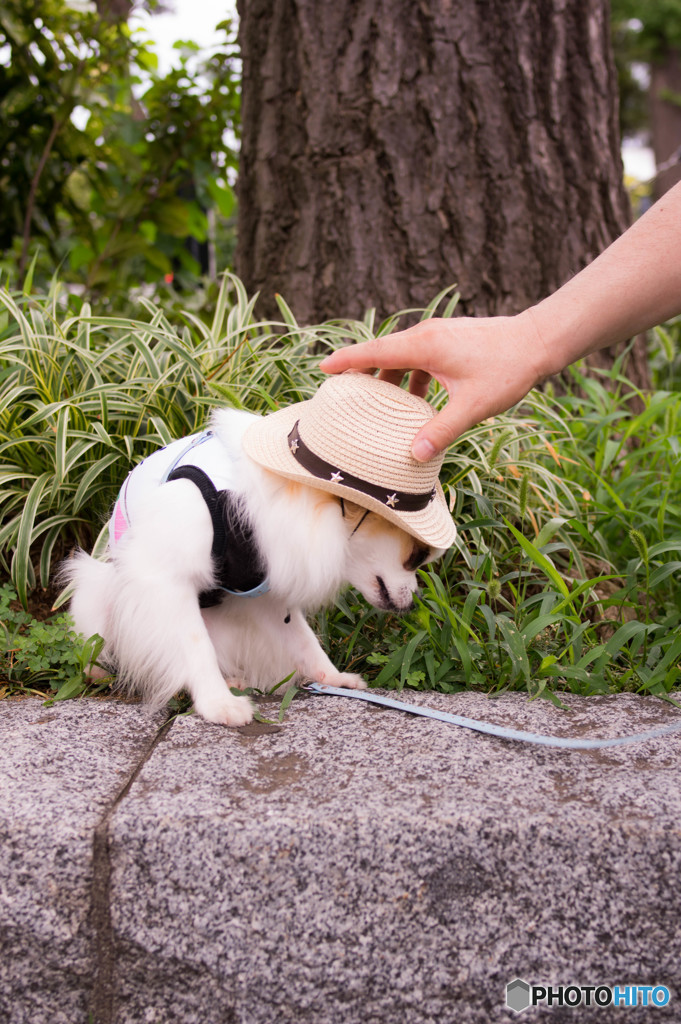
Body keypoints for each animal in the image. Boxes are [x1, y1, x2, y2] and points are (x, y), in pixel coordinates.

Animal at [63, 372, 456, 724]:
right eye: (417, 558)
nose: (414, 600)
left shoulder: (267, 591)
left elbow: (302, 639)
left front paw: (331, 678)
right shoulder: (163, 577)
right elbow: (195, 645)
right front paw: (217, 704)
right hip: (96, 590)